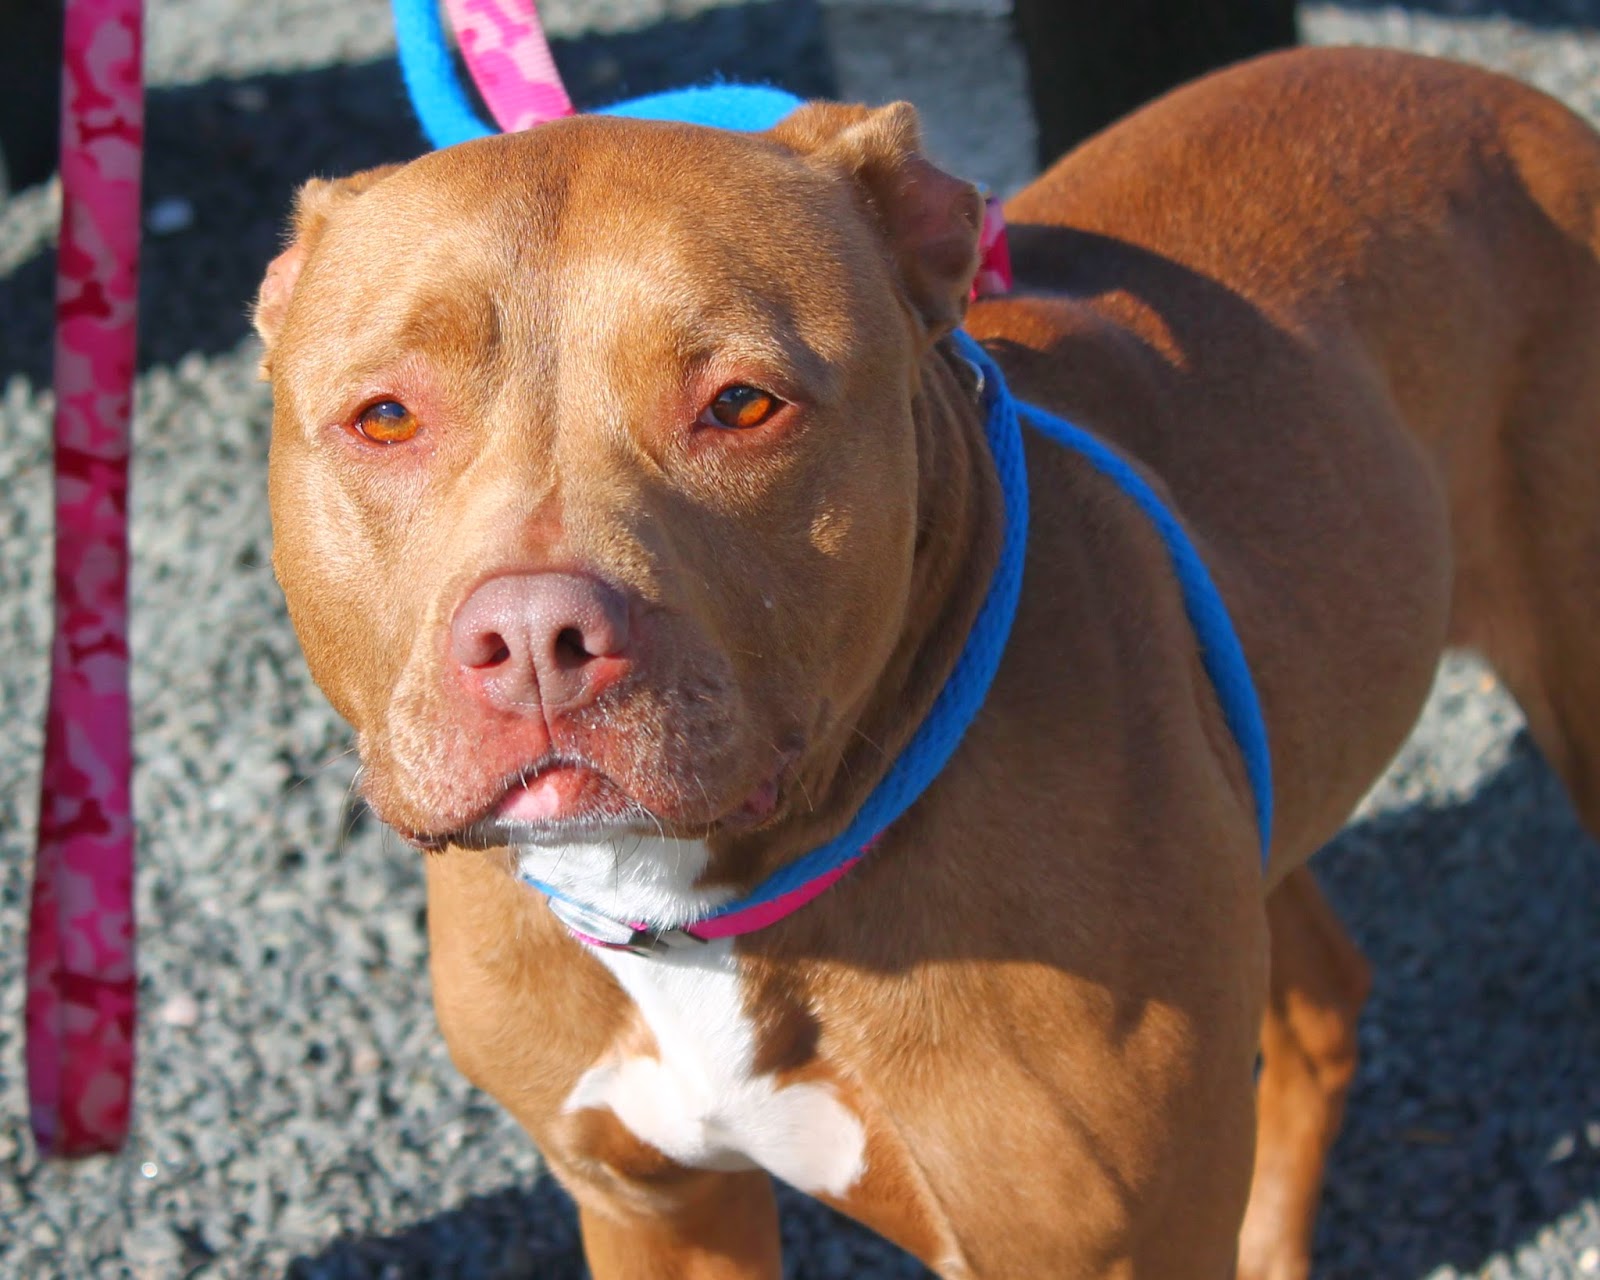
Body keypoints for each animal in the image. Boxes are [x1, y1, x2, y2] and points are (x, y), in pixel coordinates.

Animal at [253, 47, 1600, 1279]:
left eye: (742, 404)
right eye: (385, 416)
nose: (538, 639)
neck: (700, 902)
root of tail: (1499, 95)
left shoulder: (1106, 1245)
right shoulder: (653, 1205)